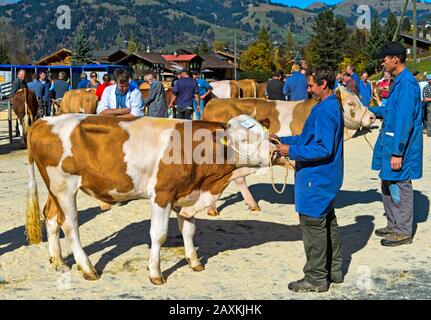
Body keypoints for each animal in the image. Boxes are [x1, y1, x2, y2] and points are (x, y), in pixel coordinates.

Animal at [25, 114, 276, 284]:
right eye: (244, 138)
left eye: (265, 134)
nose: (275, 151)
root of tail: (43, 121)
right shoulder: (162, 194)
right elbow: (159, 234)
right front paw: (155, 273)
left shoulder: (186, 195)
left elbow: (188, 230)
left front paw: (194, 261)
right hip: (65, 187)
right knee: (69, 224)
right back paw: (87, 268)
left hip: (55, 189)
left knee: (51, 217)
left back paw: (58, 261)